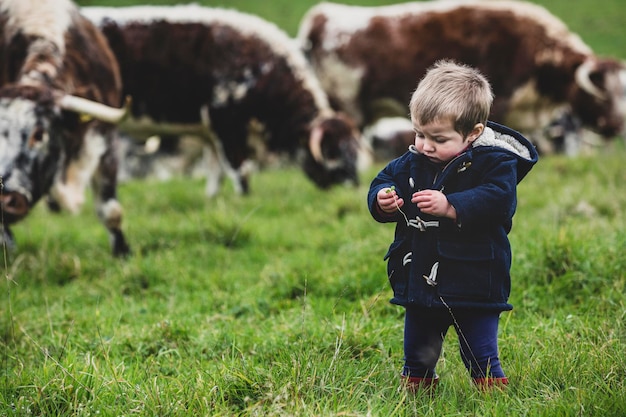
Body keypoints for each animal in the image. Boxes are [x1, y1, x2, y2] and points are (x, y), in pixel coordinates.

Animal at [81, 4, 368, 197]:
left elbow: (215, 173)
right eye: (331, 150)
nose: (353, 183)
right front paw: (244, 199)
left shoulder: (212, 134)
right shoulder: (227, 124)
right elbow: (240, 171)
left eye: (354, 149)